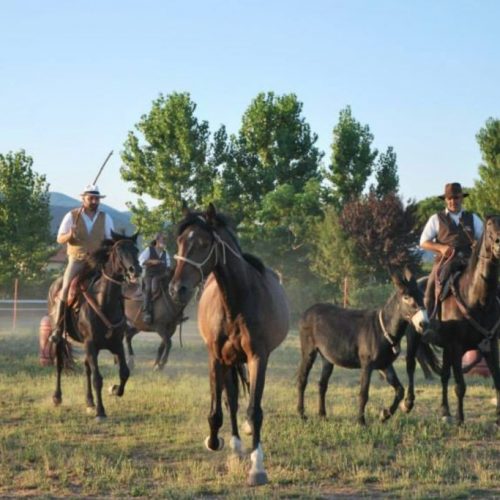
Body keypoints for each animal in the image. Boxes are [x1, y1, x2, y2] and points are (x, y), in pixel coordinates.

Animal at [47, 232, 142, 420]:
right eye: (119, 250)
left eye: (136, 249)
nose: (135, 270)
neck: (103, 301)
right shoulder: (91, 344)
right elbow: (98, 378)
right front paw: (101, 411)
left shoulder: (116, 344)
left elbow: (124, 372)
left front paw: (114, 390)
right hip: (61, 339)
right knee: (60, 365)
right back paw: (57, 397)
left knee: (87, 369)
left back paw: (89, 401)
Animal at [170, 202, 292, 484]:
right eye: (179, 241)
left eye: (203, 243)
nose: (177, 289)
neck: (236, 302)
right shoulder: (216, 357)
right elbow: (218, 410)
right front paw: (214, 442)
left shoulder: (258, 357)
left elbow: (254, 411)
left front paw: (257, 468)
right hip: (229, 360)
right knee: (232, 400)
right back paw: (236, 447)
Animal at [296, 270, 430, 426]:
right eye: (406, 297)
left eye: (423, 296)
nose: (424, 324)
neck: (383, 329)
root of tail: (308, 310)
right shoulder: (367, 364)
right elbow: (363, 393)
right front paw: (361, 422)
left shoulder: (385, 365)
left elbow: (400, 390)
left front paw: (385, 415)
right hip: (308, 351)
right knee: (302, 380)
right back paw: (301, 414)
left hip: (327, 358)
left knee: (322, 385)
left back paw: (322, 415)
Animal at [410, 215, 500, 426]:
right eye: (490, 225)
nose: (499, 244)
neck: (477, 298)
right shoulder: (456, 346)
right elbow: (460, 385)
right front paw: (460, 418)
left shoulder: (490, 345)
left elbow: (498, 381)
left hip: (446, 348)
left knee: (444, 375)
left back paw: (445, 410)